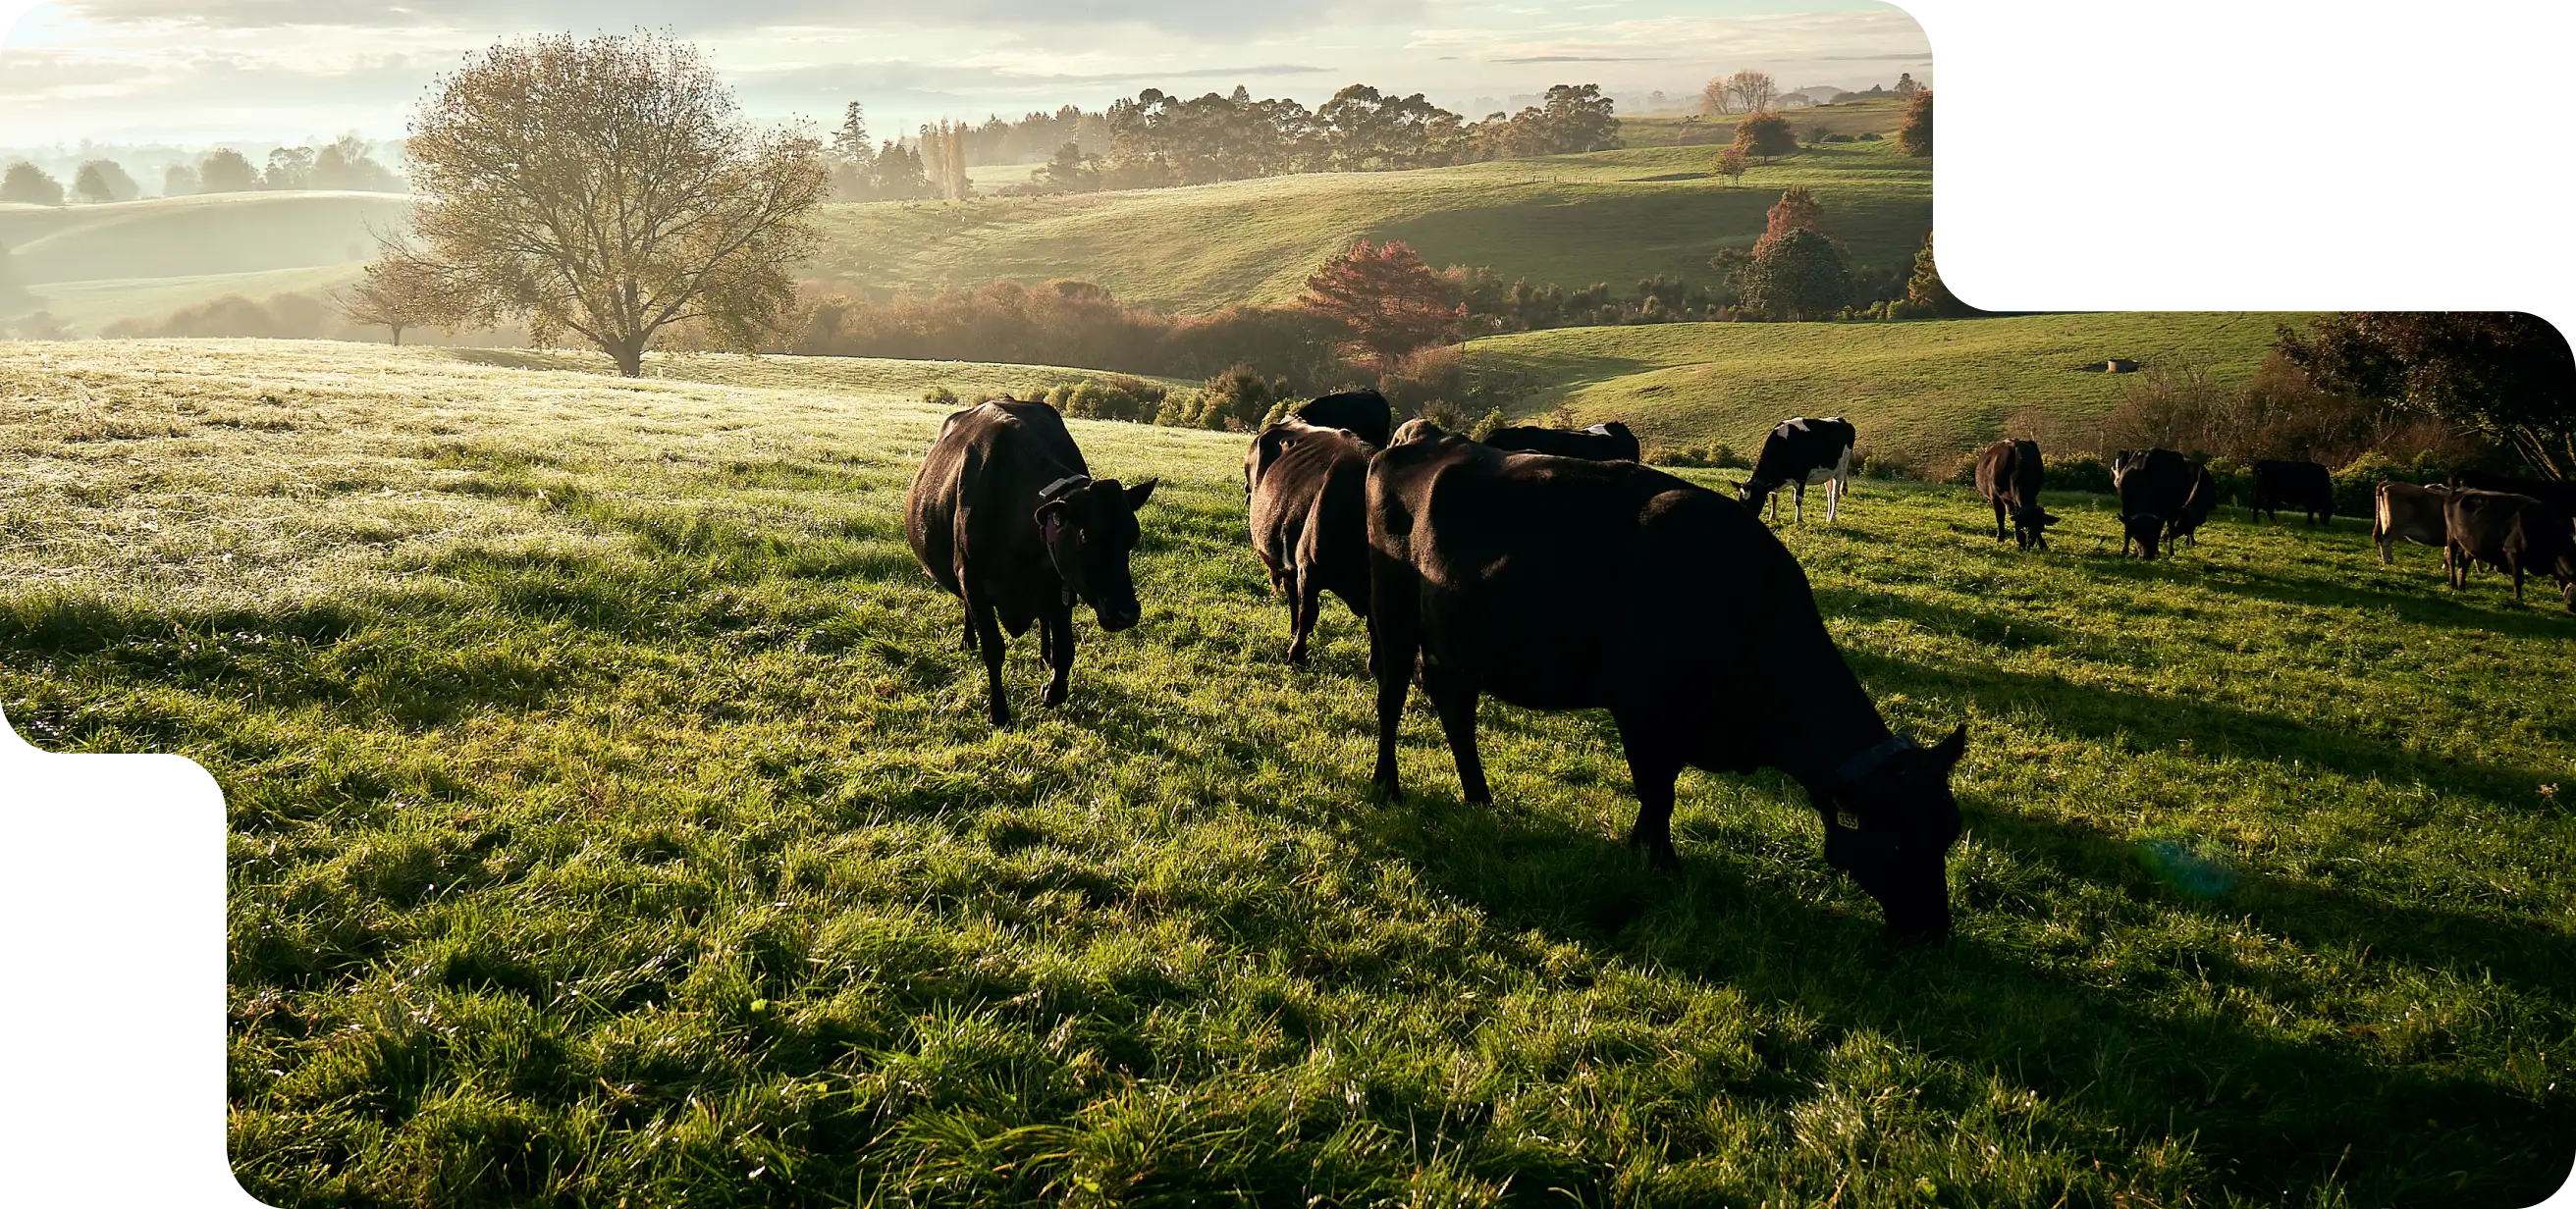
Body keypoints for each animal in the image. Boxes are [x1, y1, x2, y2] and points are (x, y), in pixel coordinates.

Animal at [904, 397, 1159, 726]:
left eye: (1132, 539)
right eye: (1086, 538)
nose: (1127, 613)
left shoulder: (1062, 584)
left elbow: (1065, 648)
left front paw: (1054, 690)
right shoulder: (971, 579)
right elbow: (993, 647)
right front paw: (999, 713)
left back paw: (1044, 656)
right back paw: (968, 641)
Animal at [2442, 489, 2576, 611]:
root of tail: (2459, 490)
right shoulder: (2513, 552)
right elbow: (2518, 578)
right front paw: (2518, 599)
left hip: (2470, 545)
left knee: (2463, 564)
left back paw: (2462, 587)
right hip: (2451, 537)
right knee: (2451, 559)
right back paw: (2453, 584)